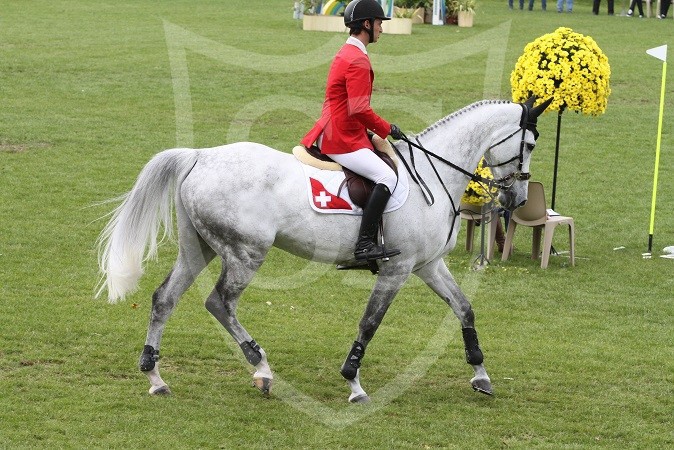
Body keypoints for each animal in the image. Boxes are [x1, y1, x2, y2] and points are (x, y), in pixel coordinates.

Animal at [96, 97, 544, 400]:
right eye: (530, 145)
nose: (518, 199)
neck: (432, 178)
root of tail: (200, 157)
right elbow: (369, 323)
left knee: (164, 299)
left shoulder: (429, 265)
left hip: (199, 248)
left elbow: (464, 308)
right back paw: (262, 369)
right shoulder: (397, 270)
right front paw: (353, 382)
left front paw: (480, 374)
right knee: (219, 302)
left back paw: (155, 377)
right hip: (245, 253)